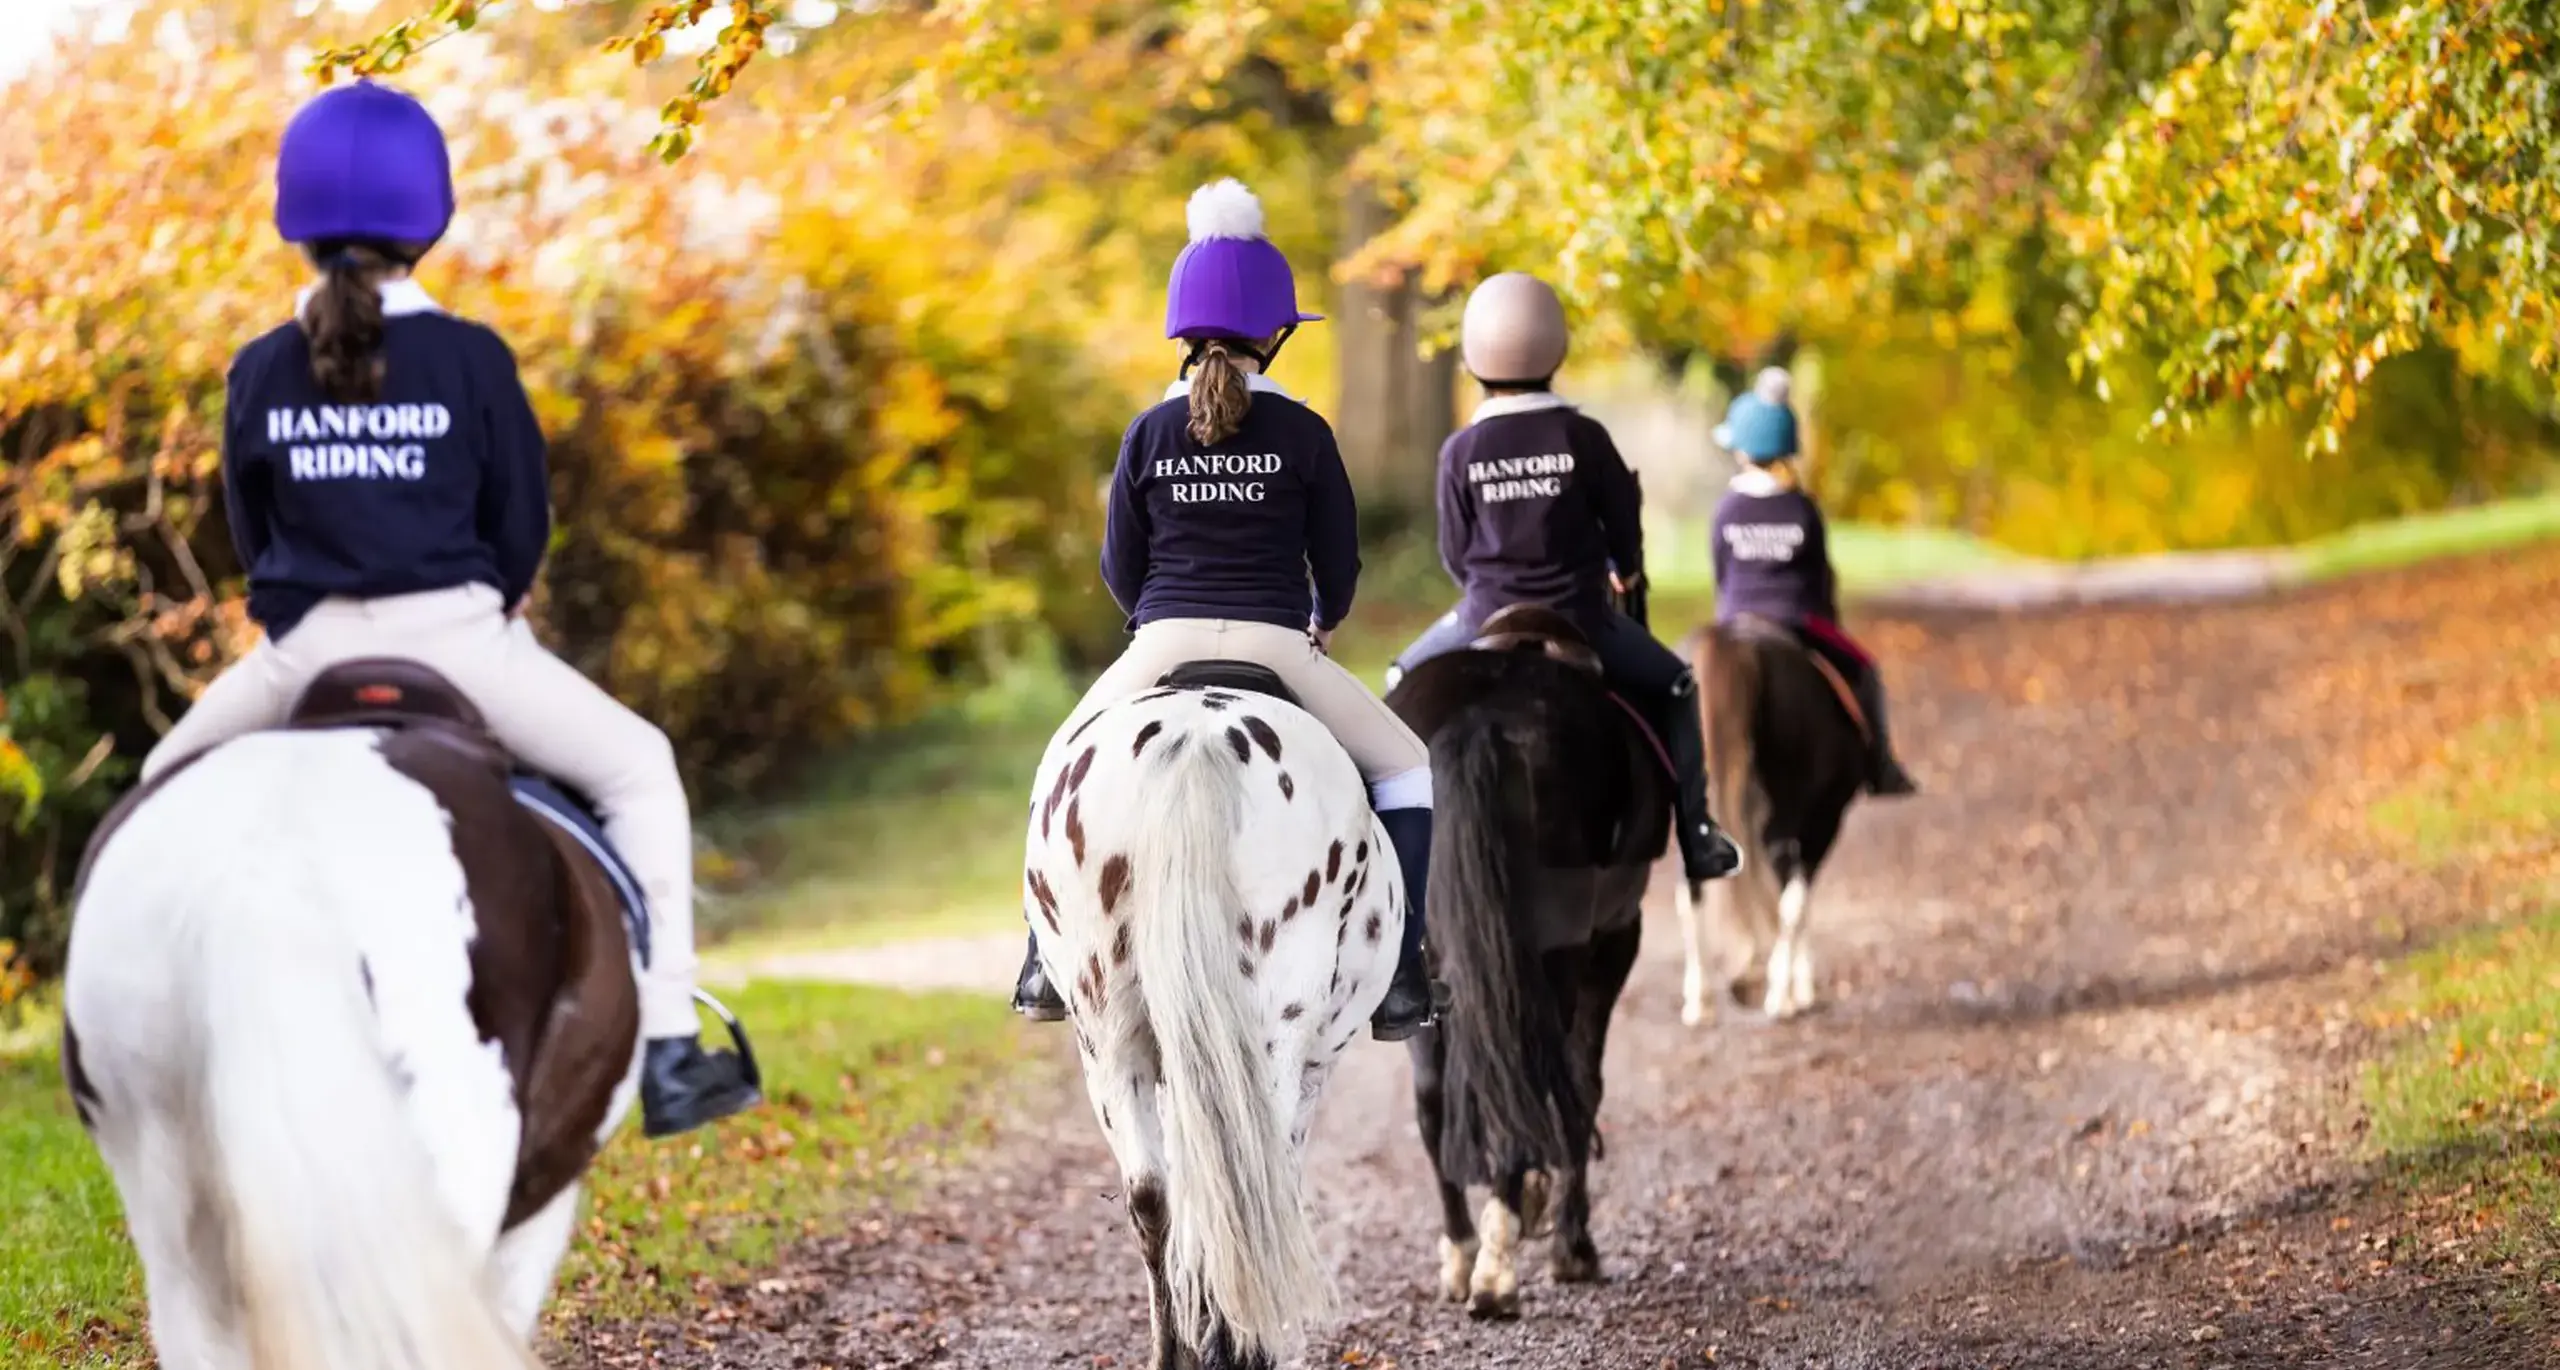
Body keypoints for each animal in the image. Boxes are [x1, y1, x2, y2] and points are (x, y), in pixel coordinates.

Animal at [1022, 660, 1403, 1370]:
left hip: (1107, 1037)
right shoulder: (1307, 1069)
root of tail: (1194, 742)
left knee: (1154, 1193)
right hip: (1271, 1038)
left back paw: (1178, 1350)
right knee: (1249, 1180)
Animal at [1384, 604, 1672, 1321]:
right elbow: (1583, 1084)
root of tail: (1478, 720)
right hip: (1559, 953)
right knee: (1525, 1072)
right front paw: (1572, 1243)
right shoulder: (1617, 938)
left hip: (1425, 955)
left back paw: (1464, 1256)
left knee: (1434, 1097)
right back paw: (1499, 1269)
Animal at [1675, 616, 1869, 1024]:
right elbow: (1797, 900)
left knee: (1692, 891)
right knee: (1788, 897)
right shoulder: (1821, 824)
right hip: (1792, 819)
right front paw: (1799, 986)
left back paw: (1701, 1001)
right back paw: (1779, 996)